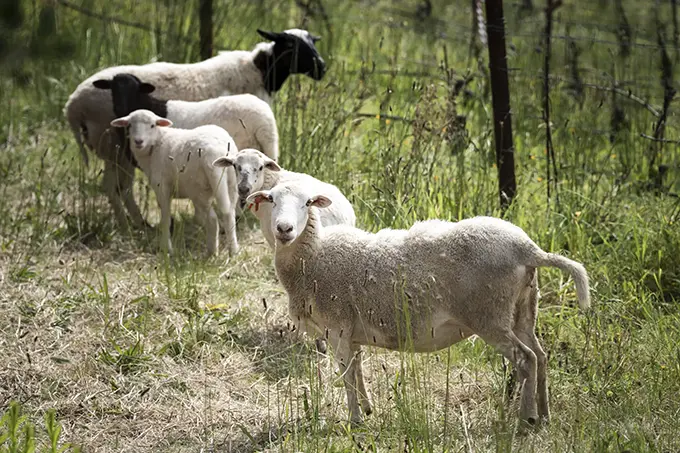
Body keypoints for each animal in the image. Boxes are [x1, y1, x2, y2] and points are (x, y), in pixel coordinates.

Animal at [110, 109, 239, 257]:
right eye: (130, 125)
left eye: (152, 125)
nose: (138, 141)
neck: (156, 143)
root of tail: (216, 152)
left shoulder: (162, 187)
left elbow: (165, 218)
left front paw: (166, 249)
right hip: (231, 184)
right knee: (229, 214)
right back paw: (233, 251)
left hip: (199, 190)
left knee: (212, 219)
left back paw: (211, 252)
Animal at [246, 182, 591, 426]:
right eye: (271, 199)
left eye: (307, 203)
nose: (284, 229)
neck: (313, 256)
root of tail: (529, 249)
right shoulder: (352, 331)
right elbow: (358, 369)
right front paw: (368, 410)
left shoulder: (337, 327)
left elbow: (346, 375)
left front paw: (355, 421)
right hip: (523, 308)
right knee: (541, 356)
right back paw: (544, 415)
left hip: (489, 316)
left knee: (525, 359)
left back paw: (526, 419)